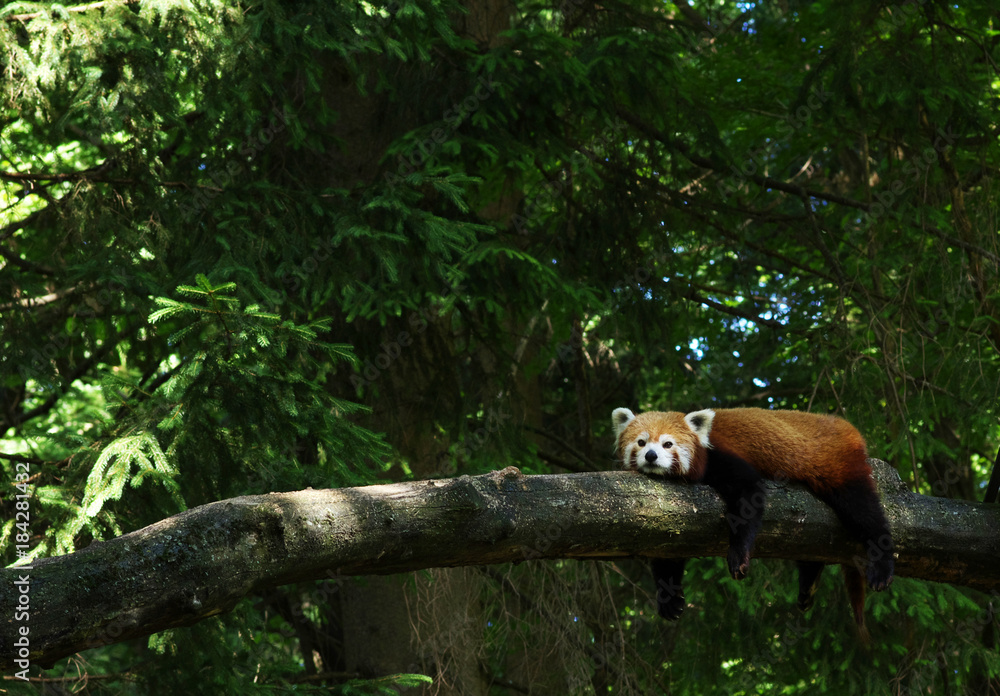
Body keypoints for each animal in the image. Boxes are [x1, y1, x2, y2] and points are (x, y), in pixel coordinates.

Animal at [612, 406, 896, 640]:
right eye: (641, 442)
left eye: (668, 443)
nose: (651, 456)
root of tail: (848, 428)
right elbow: (667, 550)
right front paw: (669, 597)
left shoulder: (721, 457)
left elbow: (749, 495)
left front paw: (738, 556)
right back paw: (809, 581)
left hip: (839, 465)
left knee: (864, 512)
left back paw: (881, 564)